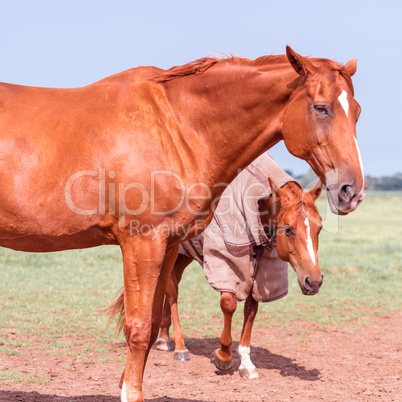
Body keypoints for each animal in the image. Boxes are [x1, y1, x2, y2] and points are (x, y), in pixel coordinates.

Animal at [0, 46, 364, 398]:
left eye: (357, 111)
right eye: (321, 108)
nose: (352, 190)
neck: (175, 128)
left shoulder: (169, 245)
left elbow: (152, 325)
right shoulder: (142, 243)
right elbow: (138, 328)